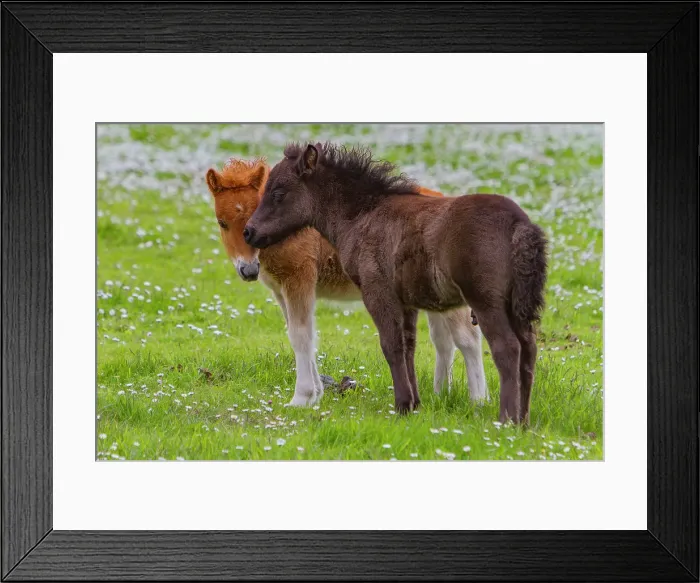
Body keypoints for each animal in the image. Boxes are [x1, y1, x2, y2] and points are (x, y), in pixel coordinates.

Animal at [205, 157, 487, 407]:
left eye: (259, 207)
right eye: (222, 222)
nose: (248, 269)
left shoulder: (299, 279)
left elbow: (300, 335)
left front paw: (302, 398)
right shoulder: (280, 290)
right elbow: (301, 334)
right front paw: (316, 394)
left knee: (467, 339)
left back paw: (478, 401)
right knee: (443, 341)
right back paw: (440, 394)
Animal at [244, 143, 547, 423]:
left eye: (278, 193)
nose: (249, 232)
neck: (362, 216)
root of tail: (519, 223)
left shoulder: (377, 291)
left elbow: (390, 345)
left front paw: (401, 405)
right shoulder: (407, 301)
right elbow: (408, 346)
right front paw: (415, 404)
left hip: (486, 300)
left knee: (507, 348)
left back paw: (507, 419)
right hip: (516, 304)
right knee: (529, 349)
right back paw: (524, 419)